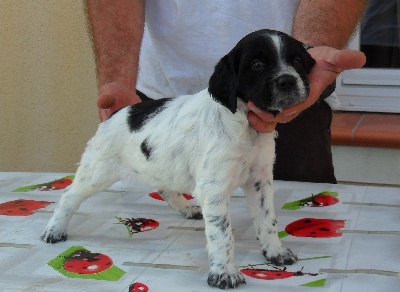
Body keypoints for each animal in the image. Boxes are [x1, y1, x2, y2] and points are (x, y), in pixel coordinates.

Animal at [40, 29, 316, 290]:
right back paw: (55, 229)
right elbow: (222, 234)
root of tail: (118, 113)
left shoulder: (259, 180)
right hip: (97, 172)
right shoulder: (214, 189)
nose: (288, 81)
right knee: (69, 195)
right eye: (257, 65)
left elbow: (266, 219)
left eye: (297, 61)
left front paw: (275, 251)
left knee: (165, 189)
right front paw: (225, 272)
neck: (244, 125)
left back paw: (188, 208)